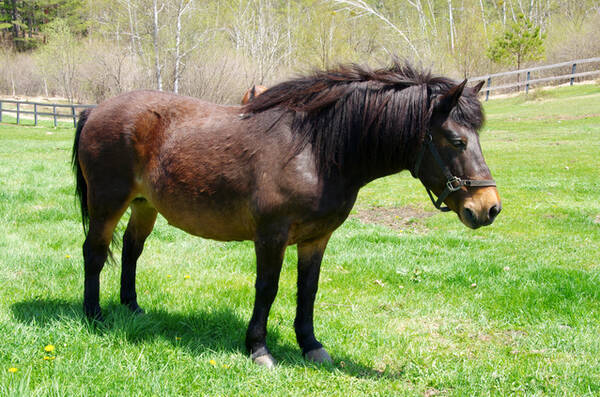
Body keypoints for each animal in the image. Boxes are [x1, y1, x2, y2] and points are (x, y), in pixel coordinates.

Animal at [70, 62, 502, 368]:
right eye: (456, 140)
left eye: (479, 138)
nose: (489, 207)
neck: (315, 150)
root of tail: (93, 110)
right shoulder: (271, 235)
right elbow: (268, 288)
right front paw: (258, 349)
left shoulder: (316, 238)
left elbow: (307, 291)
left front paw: (310, 345)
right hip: (107, 204)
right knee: (94, 253)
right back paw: (94, 316)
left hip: (145, 205)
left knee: (131, 251)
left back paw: (132, 308)